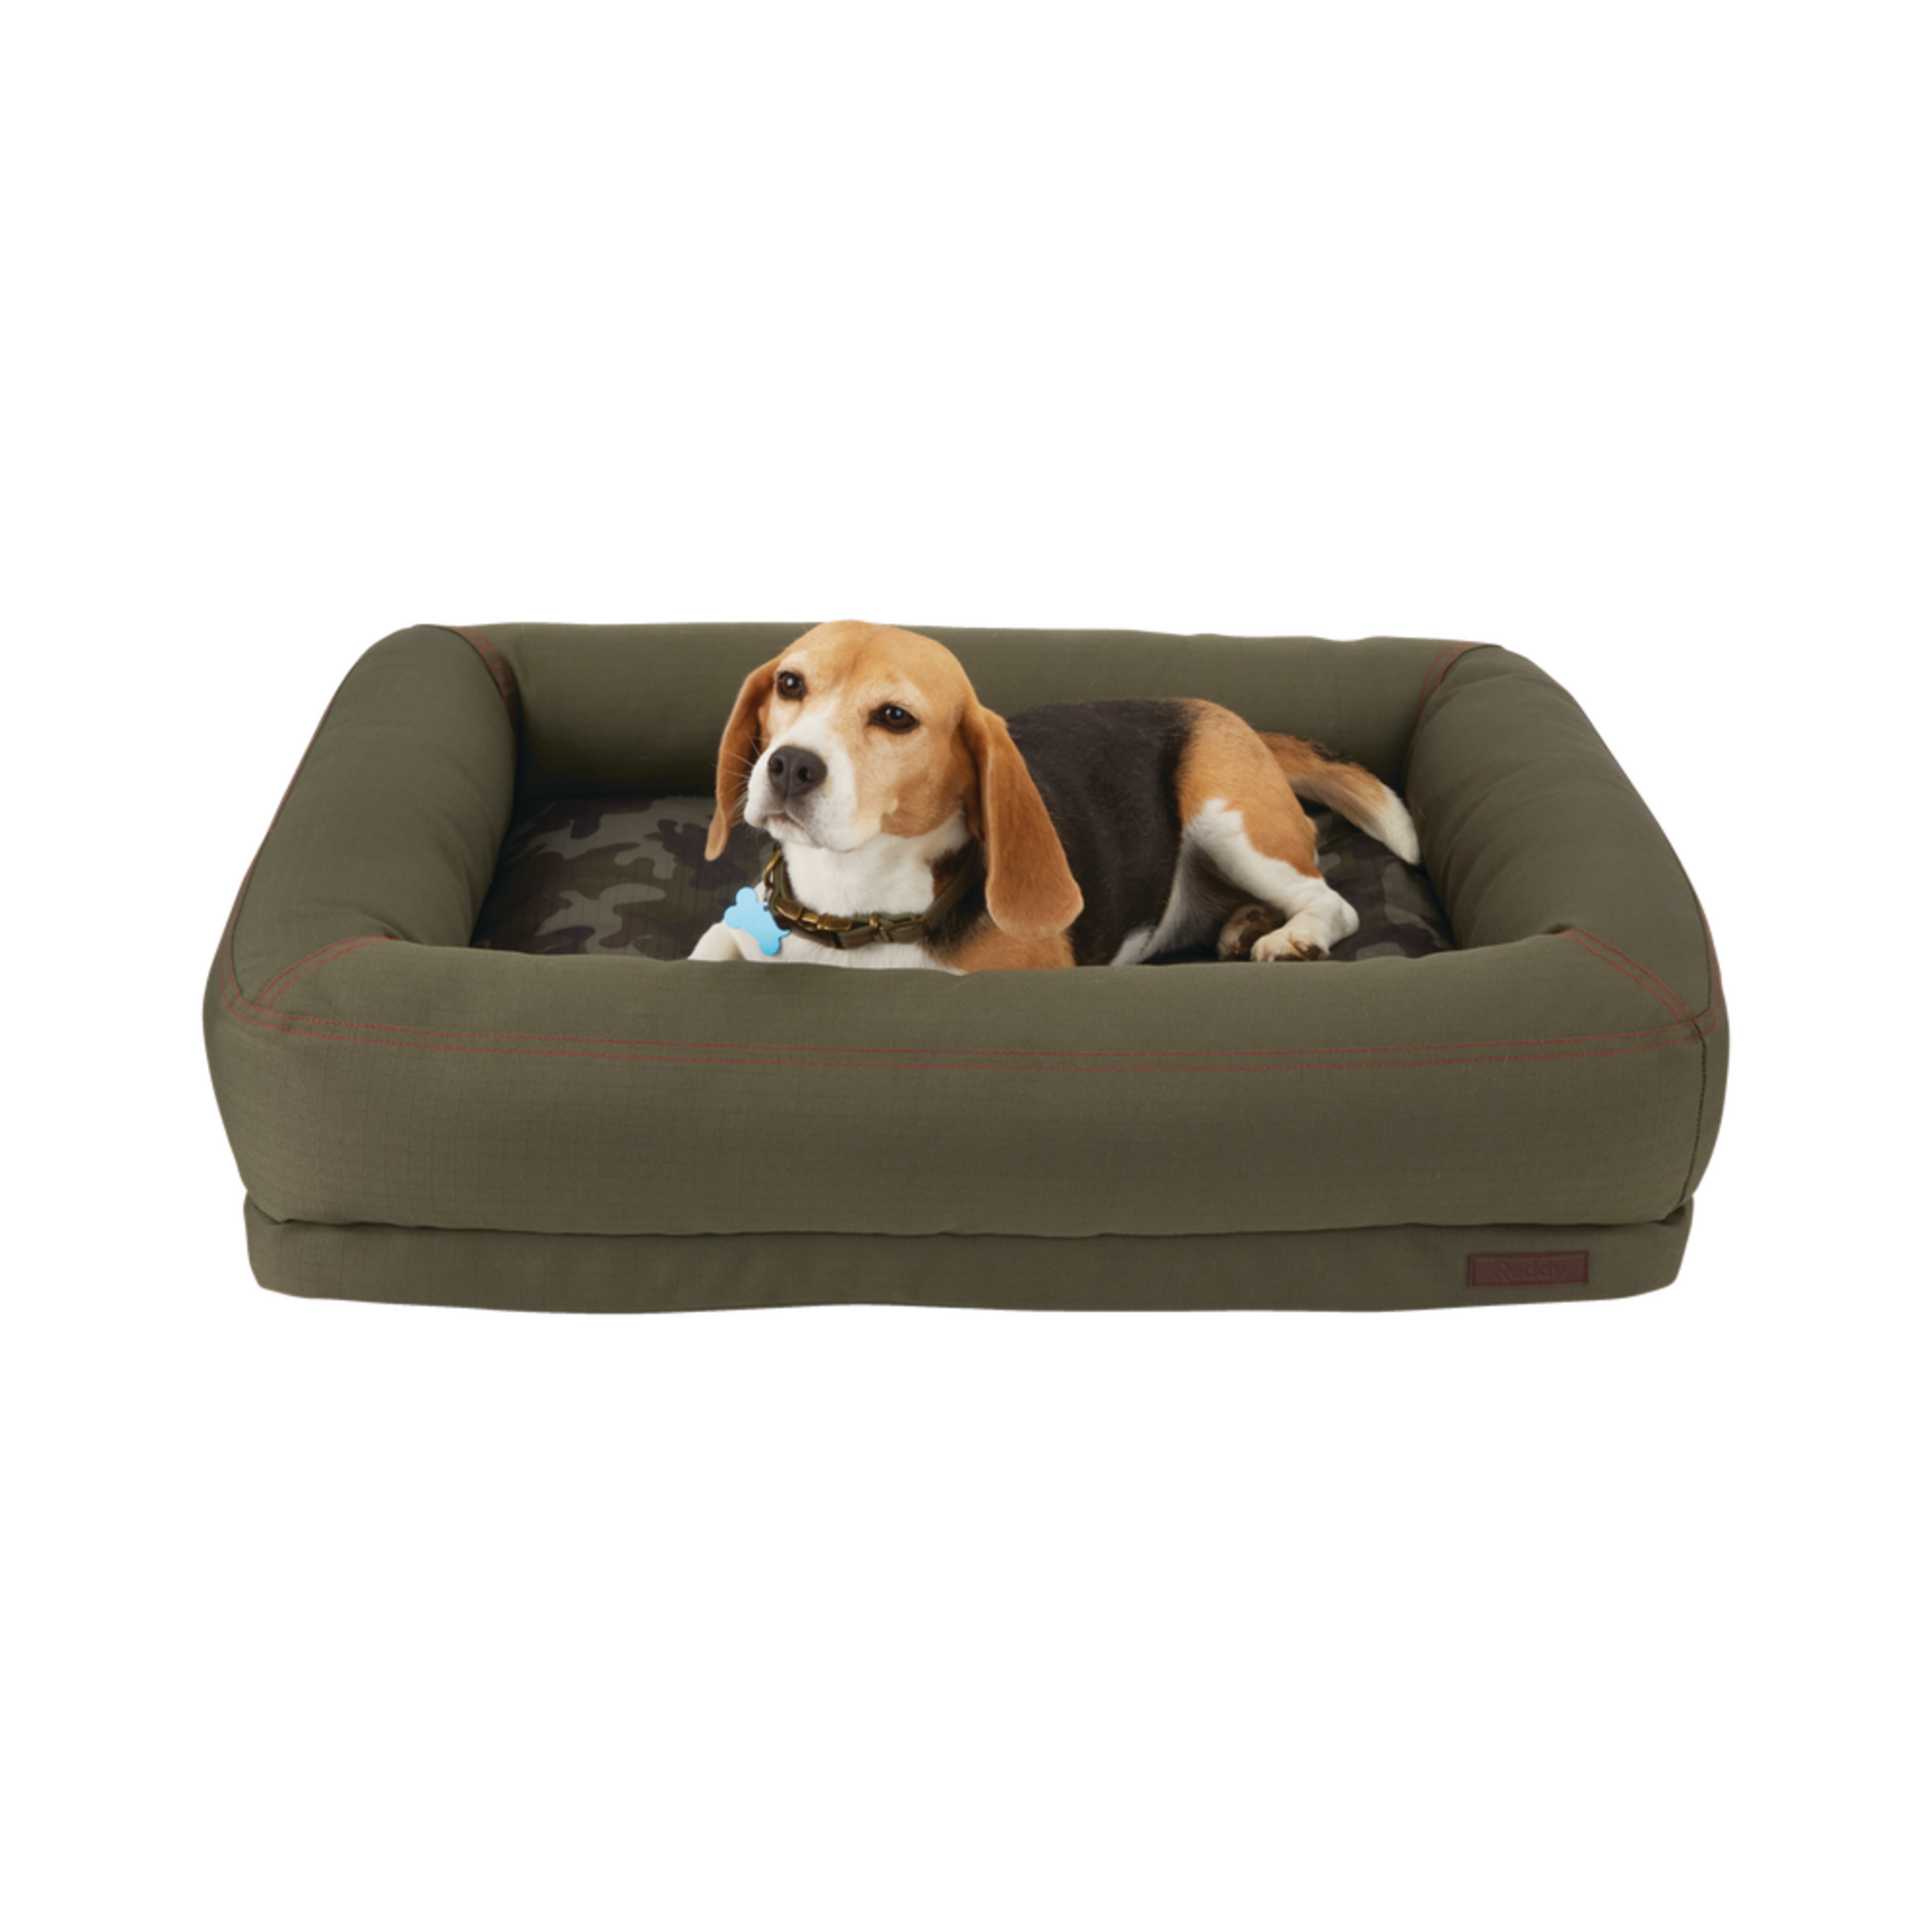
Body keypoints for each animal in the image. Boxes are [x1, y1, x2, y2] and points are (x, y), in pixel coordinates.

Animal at [689, 619, 1421, 975]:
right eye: (790, 684)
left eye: (896, 718)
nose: (790, 766)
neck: (852, 903)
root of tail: (1229, 717)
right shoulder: (730, 935)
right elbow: (711, 949)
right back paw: (1244, 924)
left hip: (1228, 817)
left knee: (1331, 901)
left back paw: (1291, 937)